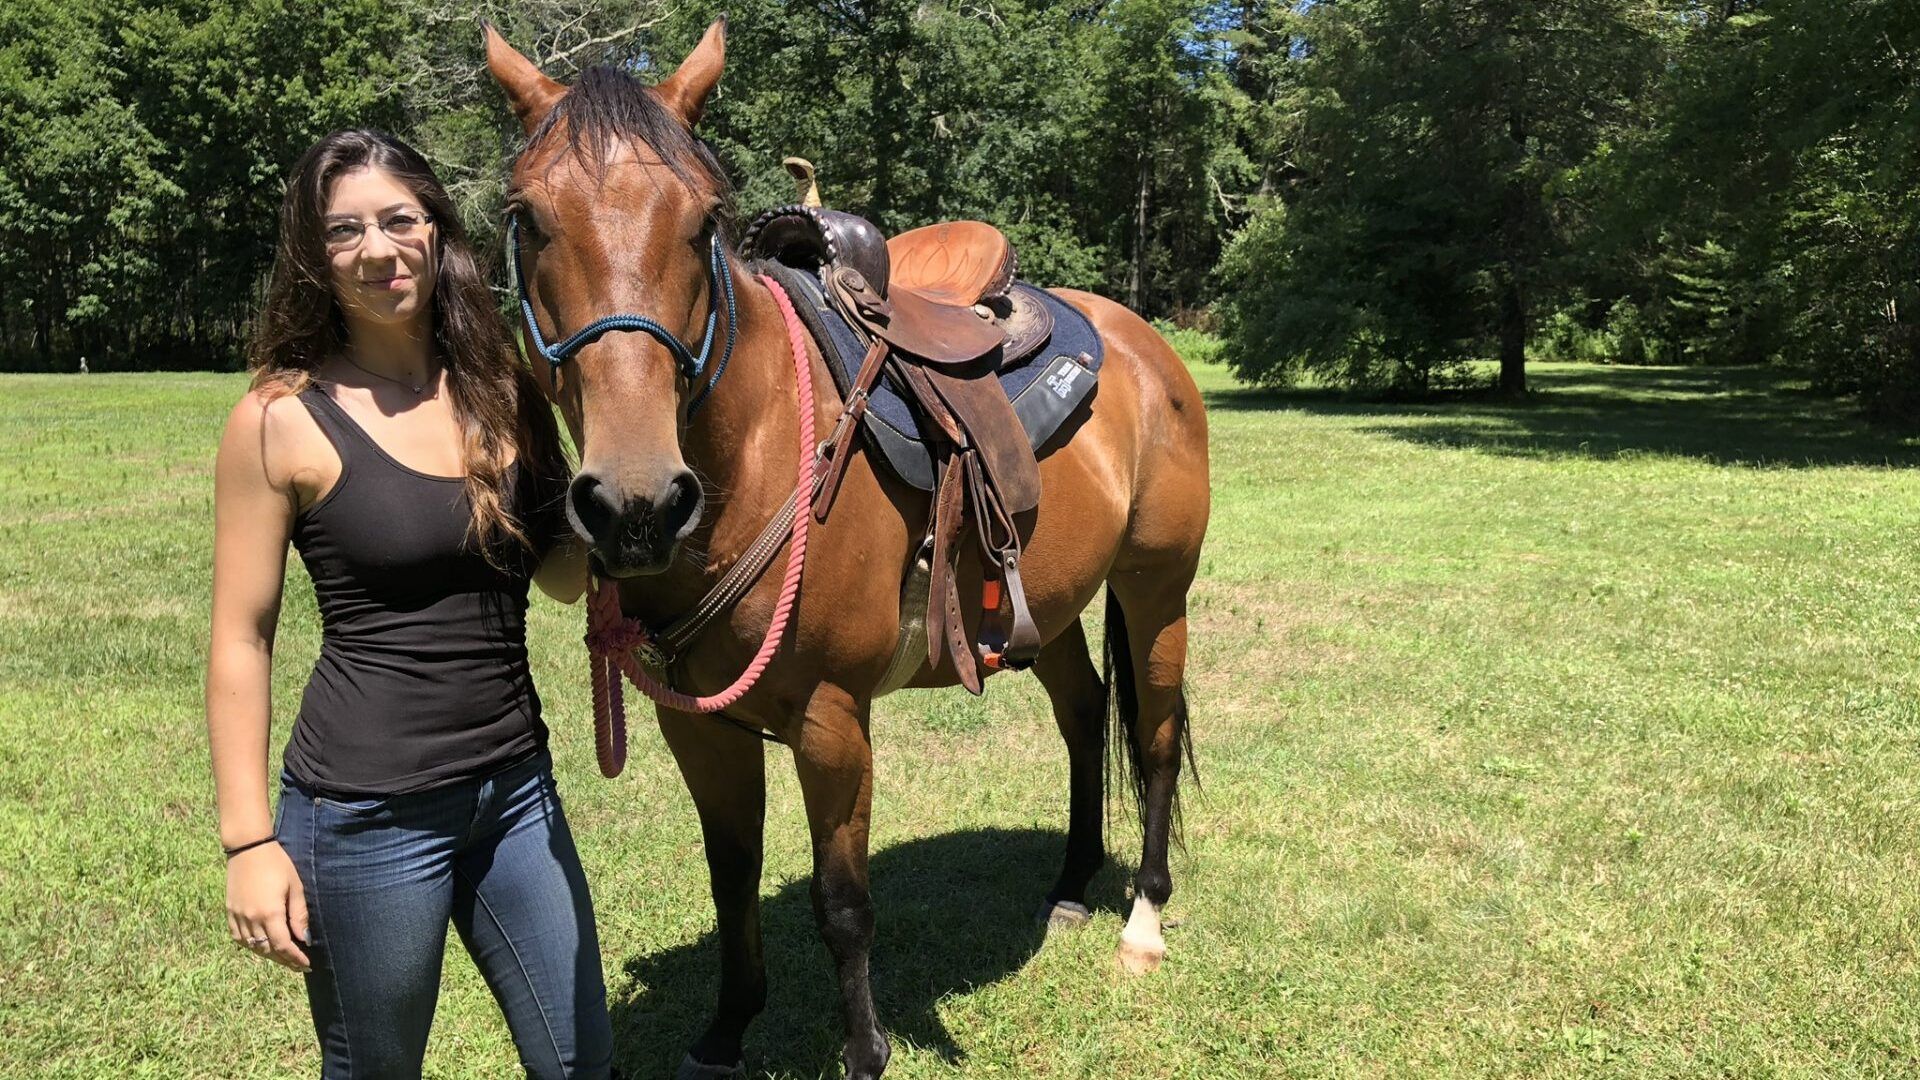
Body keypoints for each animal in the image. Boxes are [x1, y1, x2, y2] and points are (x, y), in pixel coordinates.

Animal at [485, 19, 1210, 1079]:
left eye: (702, 220)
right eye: (528, 217)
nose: (636, 501)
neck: (760, 453)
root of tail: (1146, 346)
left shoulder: (832, 720)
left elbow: (842, 904)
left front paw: (864, 1052)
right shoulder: (697, 725)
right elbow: (732, 875)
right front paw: (726, 1029)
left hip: (1158, 589)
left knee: (1153, 737)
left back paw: (1142, 920)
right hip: (1047, 607)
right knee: (1085, 716)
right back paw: (1073, 885)